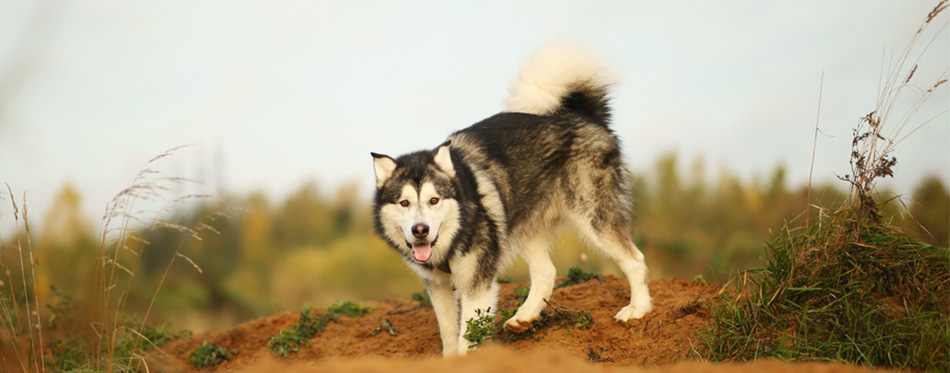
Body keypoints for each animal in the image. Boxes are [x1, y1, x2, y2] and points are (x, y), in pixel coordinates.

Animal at [372, 41, 656, 354]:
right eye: (405, 203)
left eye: (434, 200)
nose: (420, 230)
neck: (454, 235)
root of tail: (583, 116)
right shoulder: (439, 286)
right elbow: (448, 334)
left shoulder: (478, 285)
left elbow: (467, 337)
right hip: (523, 227)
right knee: (547, 272)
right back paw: (525, 316)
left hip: (594, 218)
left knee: (635, 260)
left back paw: (638, 309)